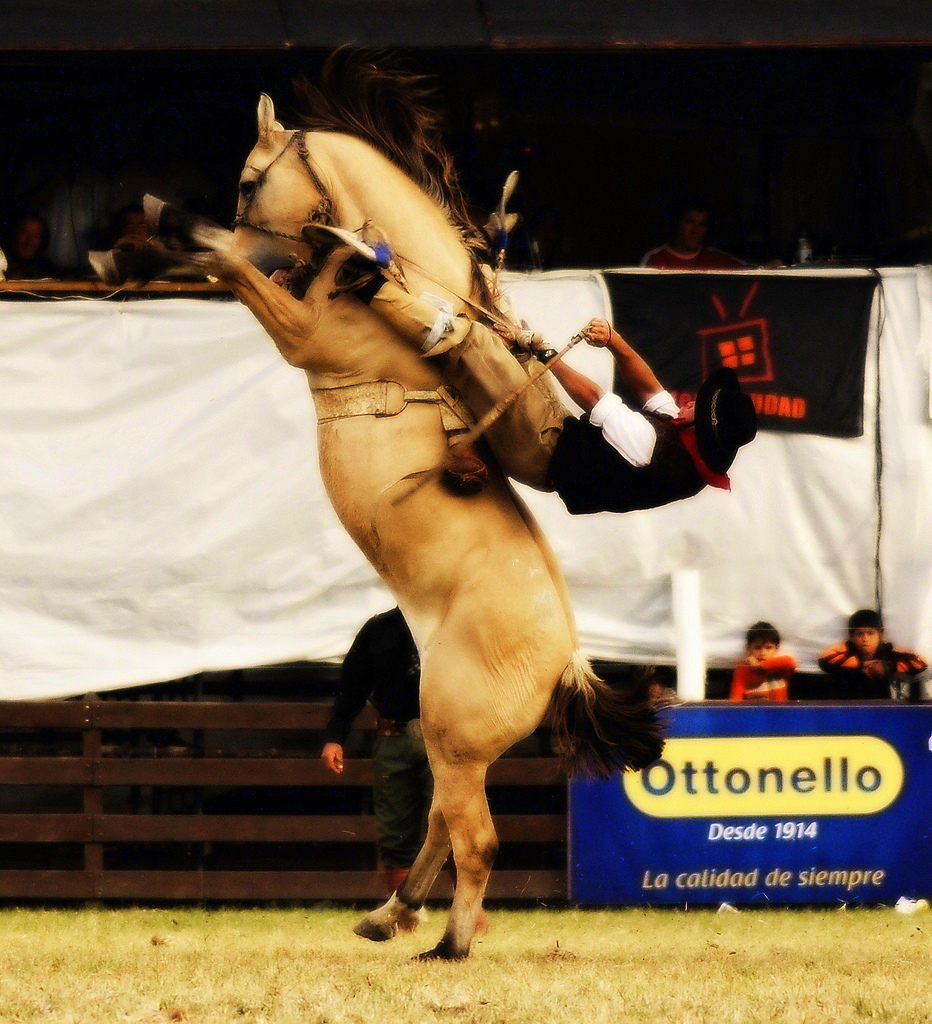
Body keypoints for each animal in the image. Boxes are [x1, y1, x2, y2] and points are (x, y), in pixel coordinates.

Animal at [113, 64, 659, 958]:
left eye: (247, 181)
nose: (273, 249)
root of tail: (570, 663)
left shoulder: (304, 334)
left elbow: (229, 266)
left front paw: (168, 228)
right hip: (449, 743)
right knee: (441, 822)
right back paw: (391, 913)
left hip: (456, 738)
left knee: (477, 838)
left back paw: (449, 943)